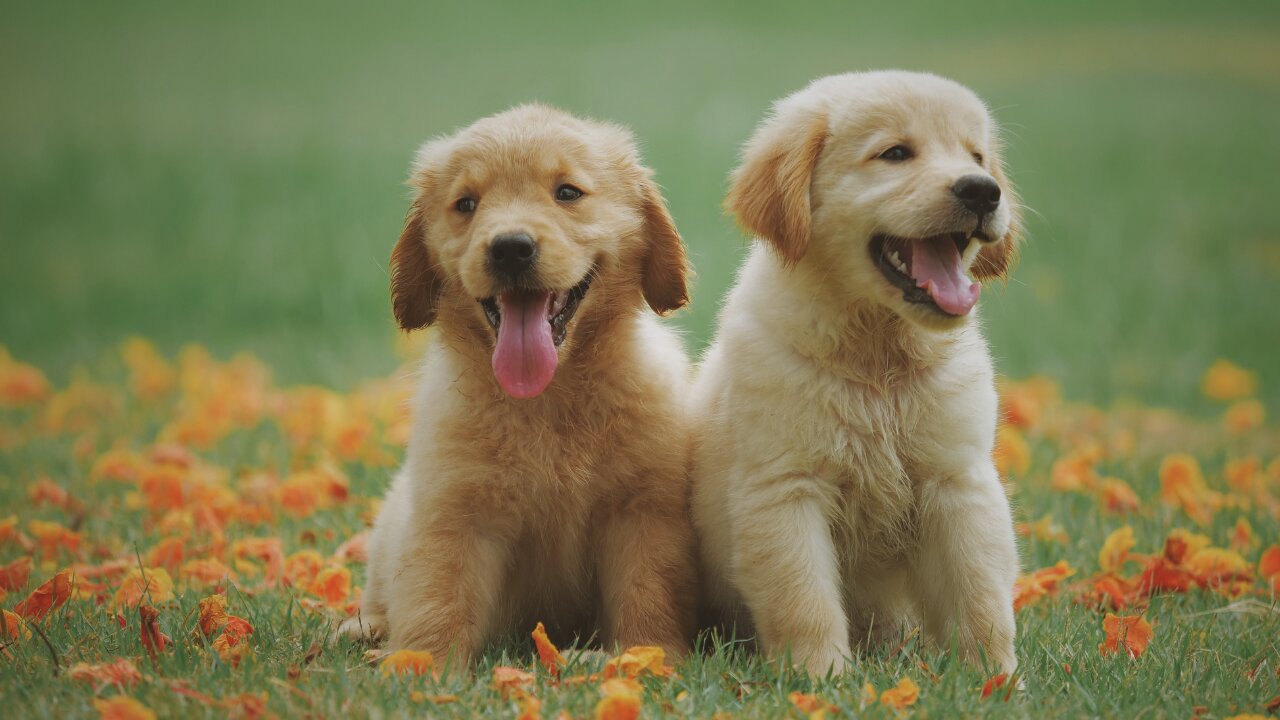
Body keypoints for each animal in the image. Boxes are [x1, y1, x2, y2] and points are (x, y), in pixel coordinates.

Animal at [340, 105, 696, 661]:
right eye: (466, 204)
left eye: (567, 192)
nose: (510, 249)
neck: (547, 399)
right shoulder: (454, 512)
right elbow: (437, 594)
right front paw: (419, 663)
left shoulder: (642, 511)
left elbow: (648, 590)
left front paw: (646, 655)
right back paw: (365, 629)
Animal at [691, 70, 1018, 671]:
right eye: (895, 154)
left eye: (977, 156)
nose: (983, 190)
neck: (877, 358)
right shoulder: (785, 489)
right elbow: (805, 600)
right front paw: (821, 677)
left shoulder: (957, 482)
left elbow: (980, 595)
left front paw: (996, 678)